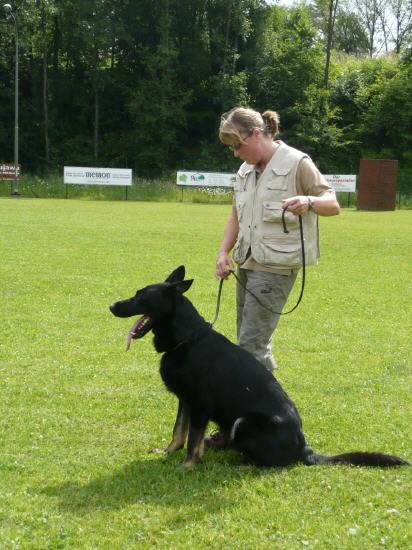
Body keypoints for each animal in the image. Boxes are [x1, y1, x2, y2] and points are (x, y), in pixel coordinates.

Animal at [109, 268, 408, 470]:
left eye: (141, 297)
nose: (111, 305)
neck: (187, 337)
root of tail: (305, 449)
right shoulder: (186, 401)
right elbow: (178, 432)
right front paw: (168, 452)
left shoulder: (199, 405)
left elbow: (192, 440)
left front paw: (187, 466)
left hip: (243, 423)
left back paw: (239, 462)